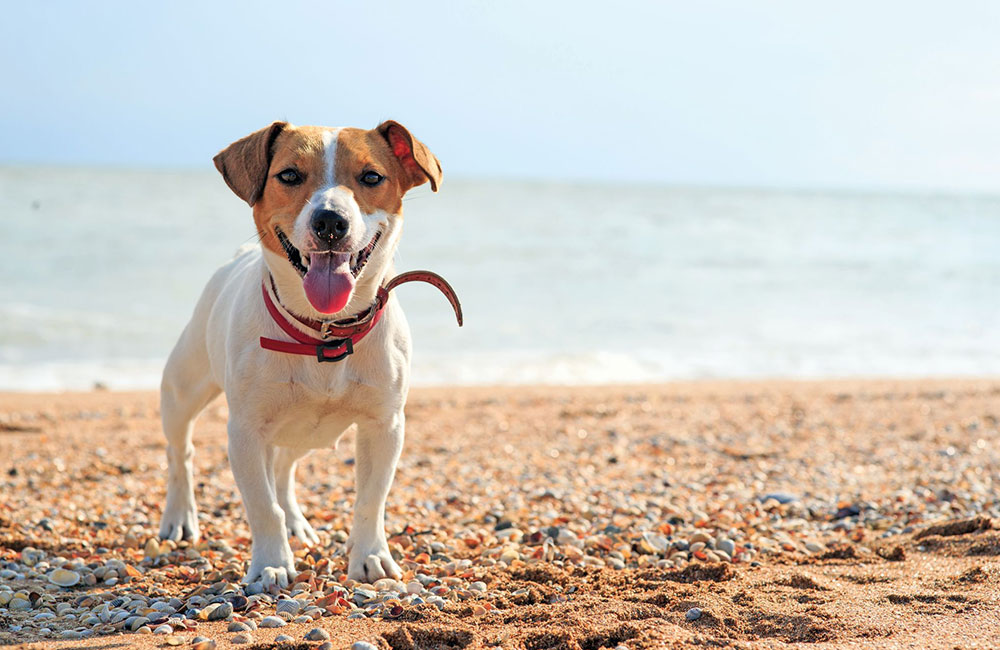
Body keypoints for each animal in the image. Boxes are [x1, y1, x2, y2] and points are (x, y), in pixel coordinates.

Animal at [157, 119, 460, 584]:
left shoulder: (385, 426)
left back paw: (298, 523)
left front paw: (370, 557)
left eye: (371, 177)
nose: (330, 222)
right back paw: (179, 517)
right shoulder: (245, 432)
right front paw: (271, 563)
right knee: (181, 454)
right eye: (289, 175)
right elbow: (263, 507)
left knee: (284, 468)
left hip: (306, 432)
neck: (322, 333)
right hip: (181, 390)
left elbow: (370, 501)